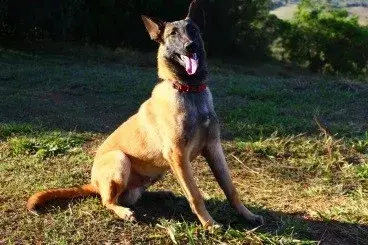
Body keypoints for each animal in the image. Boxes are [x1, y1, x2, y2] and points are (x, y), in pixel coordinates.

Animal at [27, 0, 264, 230]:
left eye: (194, 30)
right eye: (172, 34)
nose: (190, 46)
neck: (189, 90)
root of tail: (93, 184)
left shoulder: (213, 148)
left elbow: (230, 188)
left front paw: (247, 215)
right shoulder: (178, 154)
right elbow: (195, 195)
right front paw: (209, 223)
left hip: (156, 172)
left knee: (137, 194)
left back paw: (161, 194)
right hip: (120, 160)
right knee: (108, 201)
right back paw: (124, 212)